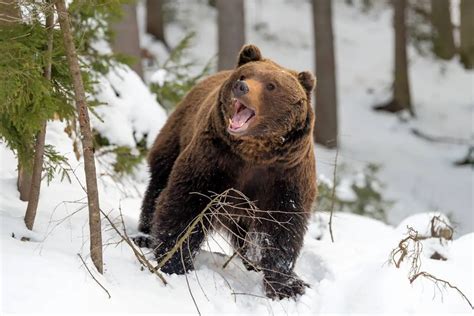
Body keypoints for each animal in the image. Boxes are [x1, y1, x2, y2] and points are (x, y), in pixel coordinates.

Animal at [135, 44, 316, 298]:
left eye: (271, 85)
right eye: (244, 76)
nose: (241, 87)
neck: (253, 154)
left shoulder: (286, 175)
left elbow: (282, 227)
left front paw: (289, 285)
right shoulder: (214, 160)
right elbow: (185, 205)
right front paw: (175, 262)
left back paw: (250, 261)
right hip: (176, 134)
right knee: (158, 184)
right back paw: (143, 235)